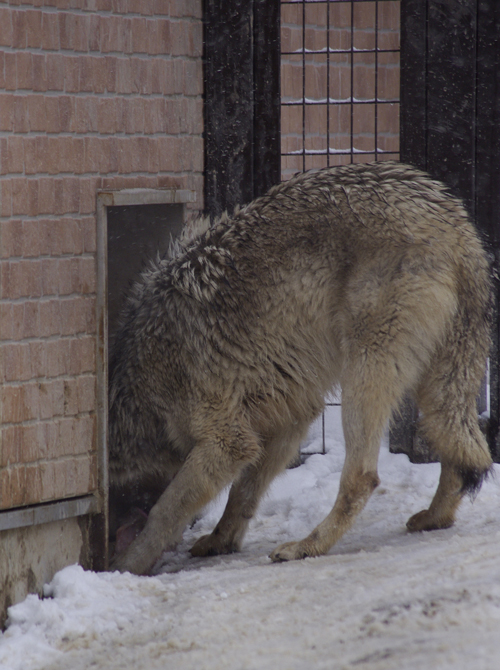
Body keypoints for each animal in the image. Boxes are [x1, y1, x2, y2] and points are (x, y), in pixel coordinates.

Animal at [108, 163, 492, 576]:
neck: (142, 386)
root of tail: (454, 220)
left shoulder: (226, 440)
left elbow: (165, 511)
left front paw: (125, 565)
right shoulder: (288, 419)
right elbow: (243, 493)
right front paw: (220, 540)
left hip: (364, 375)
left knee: (362, 477)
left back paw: (307, 547)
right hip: (434, 387)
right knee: (458, 452)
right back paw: (435, 518)